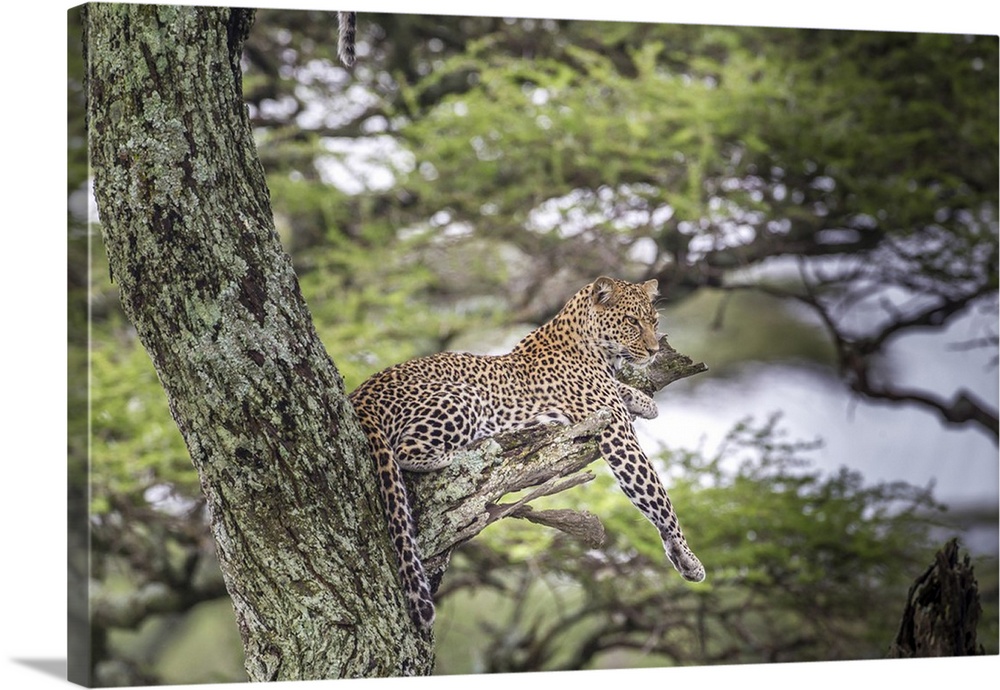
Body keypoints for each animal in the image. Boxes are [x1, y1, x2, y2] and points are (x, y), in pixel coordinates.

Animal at [348, 276, 708, 628]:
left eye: (654, 321)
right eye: (632, 321)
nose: (653, 350)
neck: (592, 348)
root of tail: (360, 394)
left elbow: (624, 390)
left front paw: (645, 401)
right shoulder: (617, 432)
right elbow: (657, 497)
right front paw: (688, 557)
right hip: (465, 397)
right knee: (407, 452)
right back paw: (469, 452)